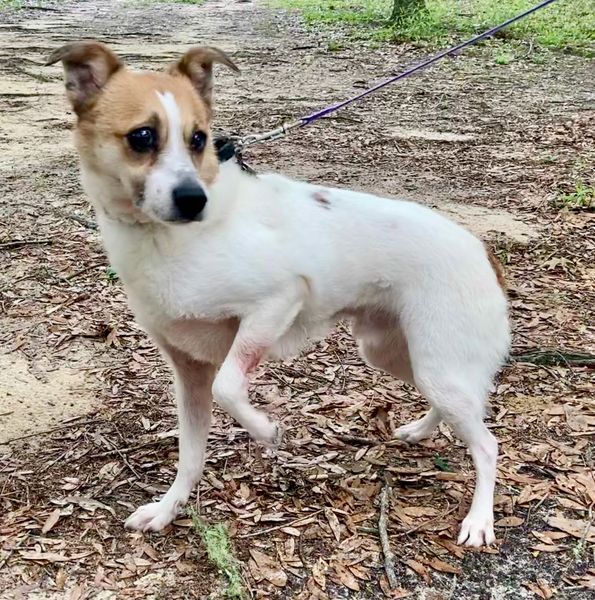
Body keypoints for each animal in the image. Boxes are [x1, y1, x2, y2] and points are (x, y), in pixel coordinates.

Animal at [47, 41, 512, 548]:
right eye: (142, 136)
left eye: (198, 139)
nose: (193, 200)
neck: (168, 240)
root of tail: (481, 249)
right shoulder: (189, 374)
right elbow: (190, 458)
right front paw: (168, 510)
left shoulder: (275, 303)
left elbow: (230, 387)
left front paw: (267, 431)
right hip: (395, 353)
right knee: (454, 409)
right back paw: (420, 431)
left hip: (437, 362)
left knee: (487, 444)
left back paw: (480, 520)